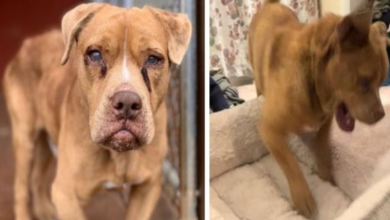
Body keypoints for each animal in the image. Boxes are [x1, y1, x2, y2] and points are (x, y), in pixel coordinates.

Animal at [2, 3, 192, 220]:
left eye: (153, 59)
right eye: (95, 55)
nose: (127, 102)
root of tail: (30, 43)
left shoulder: (147, 188)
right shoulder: (66, 195)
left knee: (36, 178)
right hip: (25, 139)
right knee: (21, 187)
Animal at [248, 0, 388, 217]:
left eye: (382, 82)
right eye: (364, 82)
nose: (381, 115)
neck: (313, 85)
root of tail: (272, 4)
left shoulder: (324, 126)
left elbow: (323, 151)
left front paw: (326, 176)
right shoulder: (269, 131)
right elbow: (291, 165)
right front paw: (303, 197)